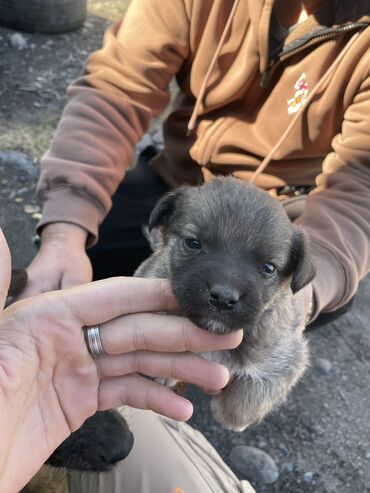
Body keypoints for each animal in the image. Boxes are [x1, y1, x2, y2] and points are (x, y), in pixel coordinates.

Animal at [136, 177, 316, 430]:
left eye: (268, 268)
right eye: (193, 243)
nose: (223, 297)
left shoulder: (287, 358)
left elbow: (248, 400)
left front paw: (226, 413)